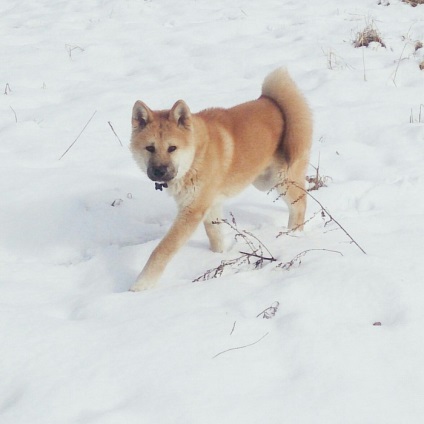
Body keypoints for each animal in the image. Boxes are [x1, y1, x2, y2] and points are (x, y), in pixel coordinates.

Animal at [129, 67, 312, 292]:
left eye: (172, 148)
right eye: (149, 148)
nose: (159, 171)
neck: (196, 155)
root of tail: (272, 101)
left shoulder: (192, 211)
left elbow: (162, 250)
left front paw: (141, 285)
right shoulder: (210, 205)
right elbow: (215, 236)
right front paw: (218, 258)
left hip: (281, 180)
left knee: (300, 205)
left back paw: (293, 236)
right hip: (263, 181)